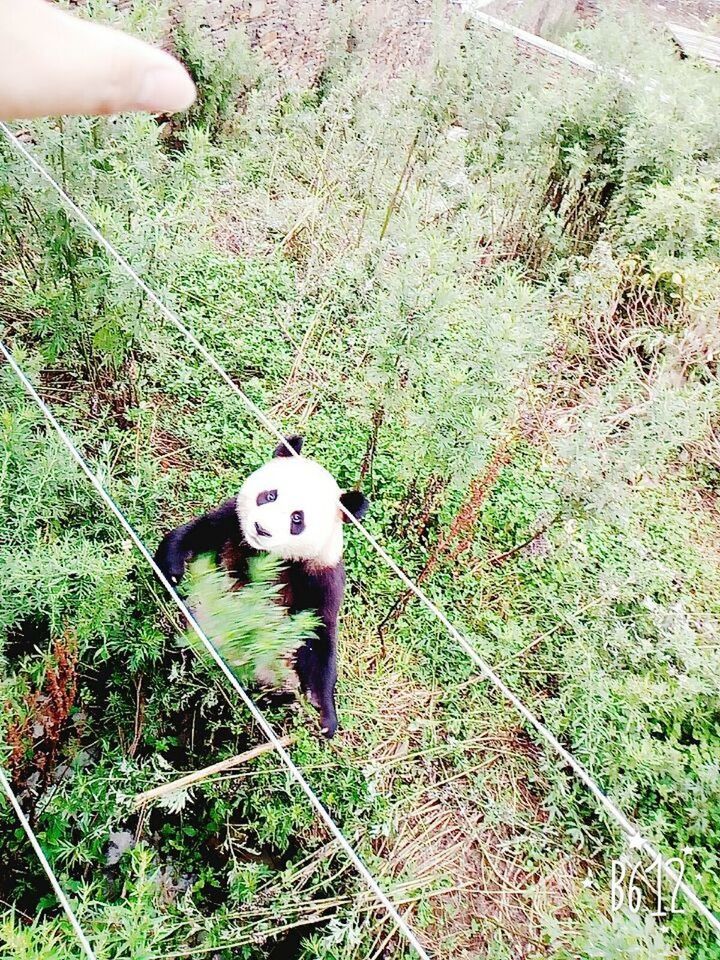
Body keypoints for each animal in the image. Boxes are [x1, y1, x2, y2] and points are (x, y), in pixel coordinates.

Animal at [154, 436, 368, 744]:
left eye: (297, 519)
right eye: (269, 495)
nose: (261, 529)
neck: (267, 555)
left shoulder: (320, 577)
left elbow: (317, 636)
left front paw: (323, 714)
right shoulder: (231, 523)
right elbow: (196, 533)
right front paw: (171, 568)